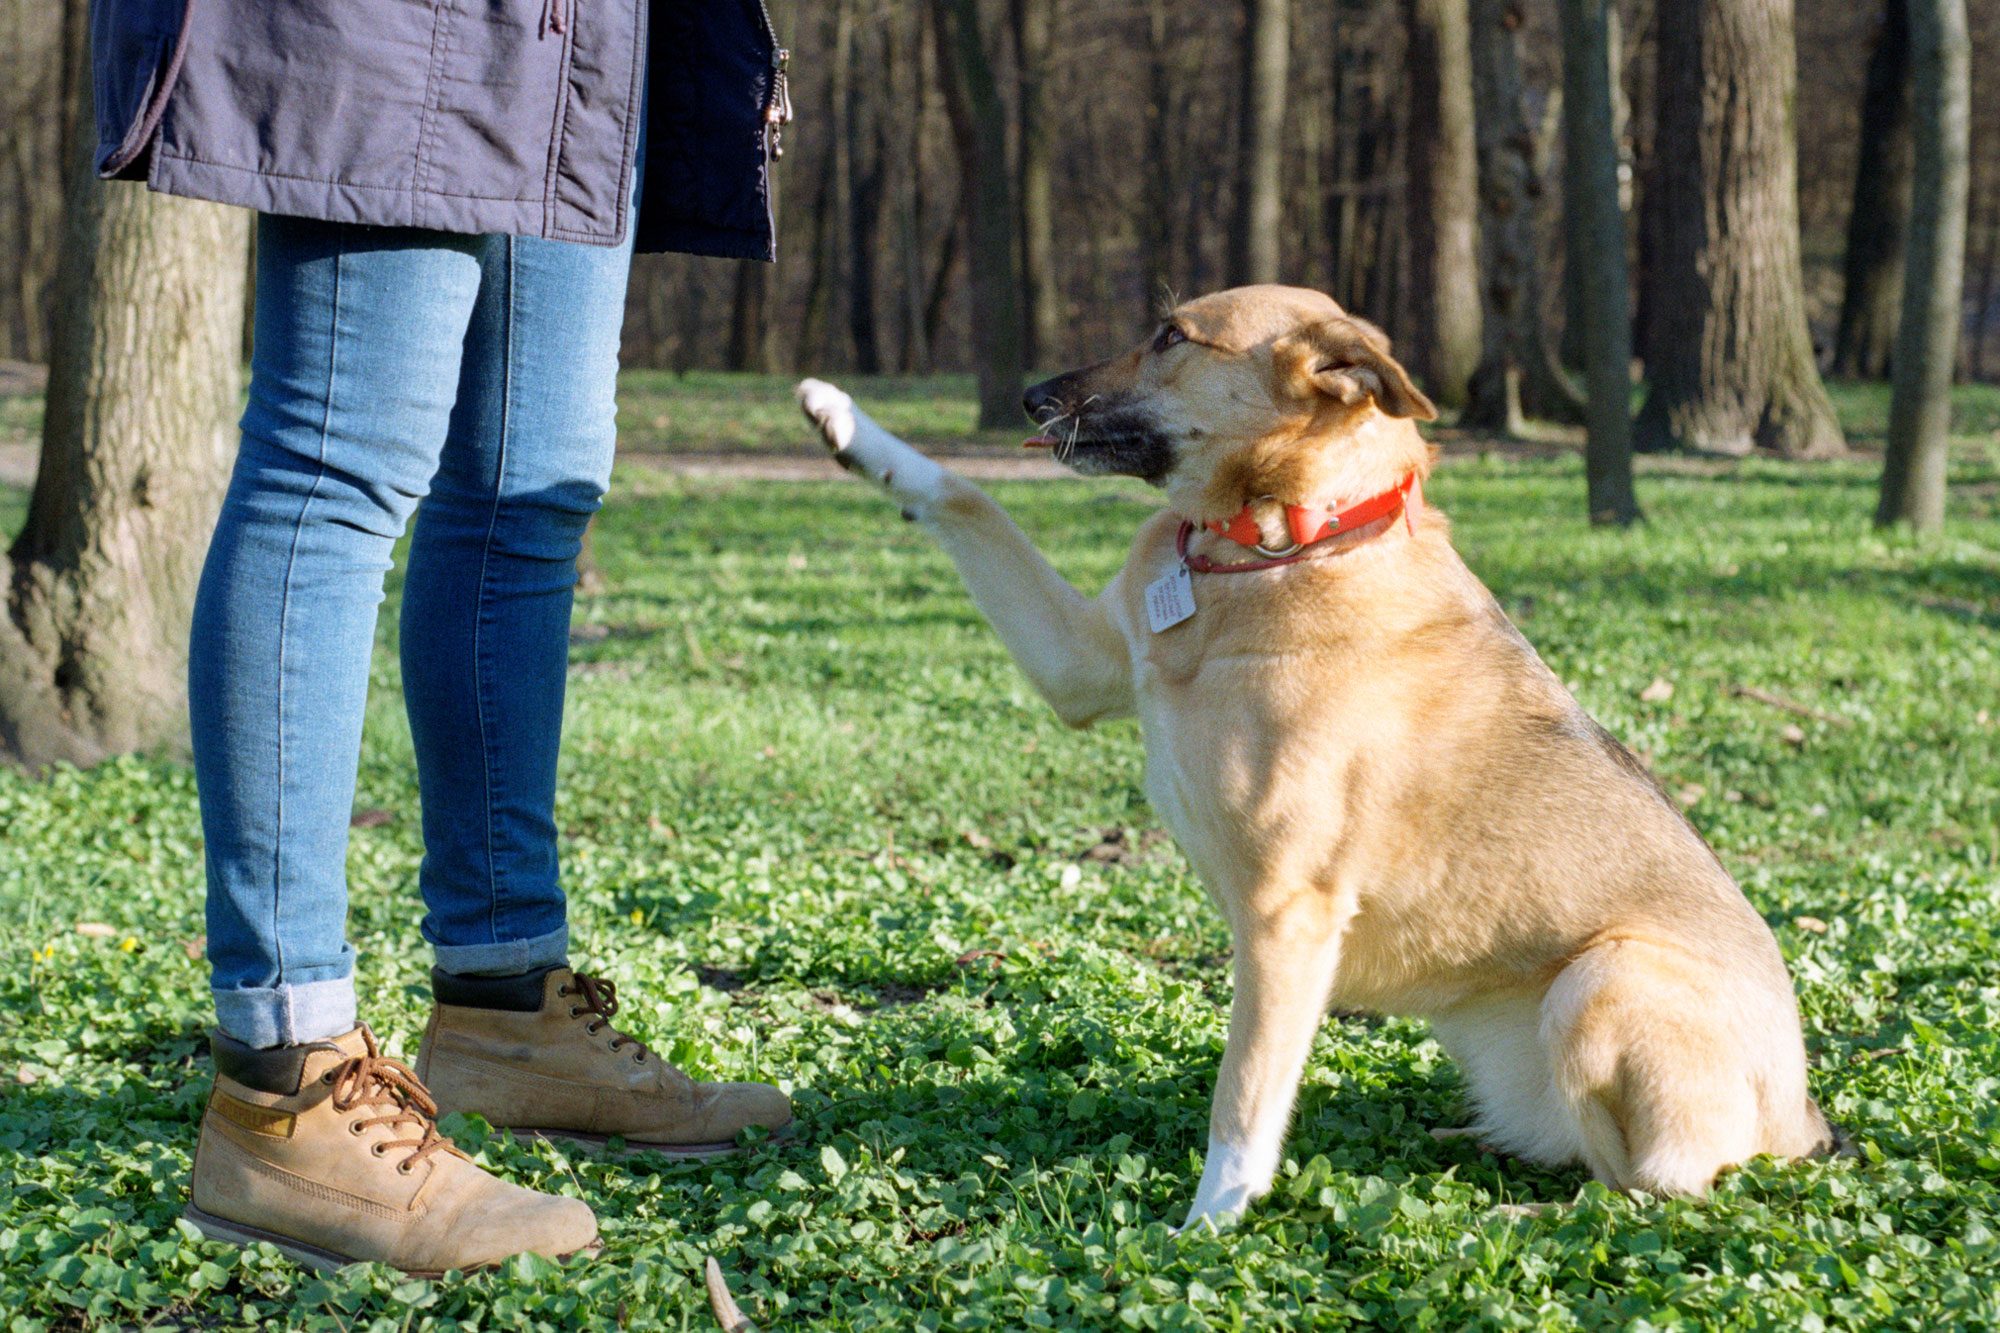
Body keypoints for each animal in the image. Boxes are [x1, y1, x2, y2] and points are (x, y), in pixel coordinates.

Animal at [788, 282, 1832, 1224]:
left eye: (1173, 335)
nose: (1032, 395)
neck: (1279, 548)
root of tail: (1802, 1122)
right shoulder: (1076, 664)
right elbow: (963, 496)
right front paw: (844, 420)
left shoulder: (1285, 917)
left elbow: (1244, 1098)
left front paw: (1210, 1225)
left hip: (1603, 978)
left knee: (1653, 1191)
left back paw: (1518, 1214)